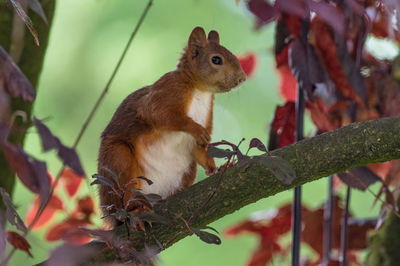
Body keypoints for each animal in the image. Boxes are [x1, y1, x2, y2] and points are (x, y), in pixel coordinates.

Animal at [98, 27, 245, 224]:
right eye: (216, 60)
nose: (242, 78)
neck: (200, 91)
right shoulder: (167, 91)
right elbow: (159, 114)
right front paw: (195, 128)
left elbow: (201, 150)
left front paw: (217, 168)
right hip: (117, 161)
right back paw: (135, 208)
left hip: (187, 171)